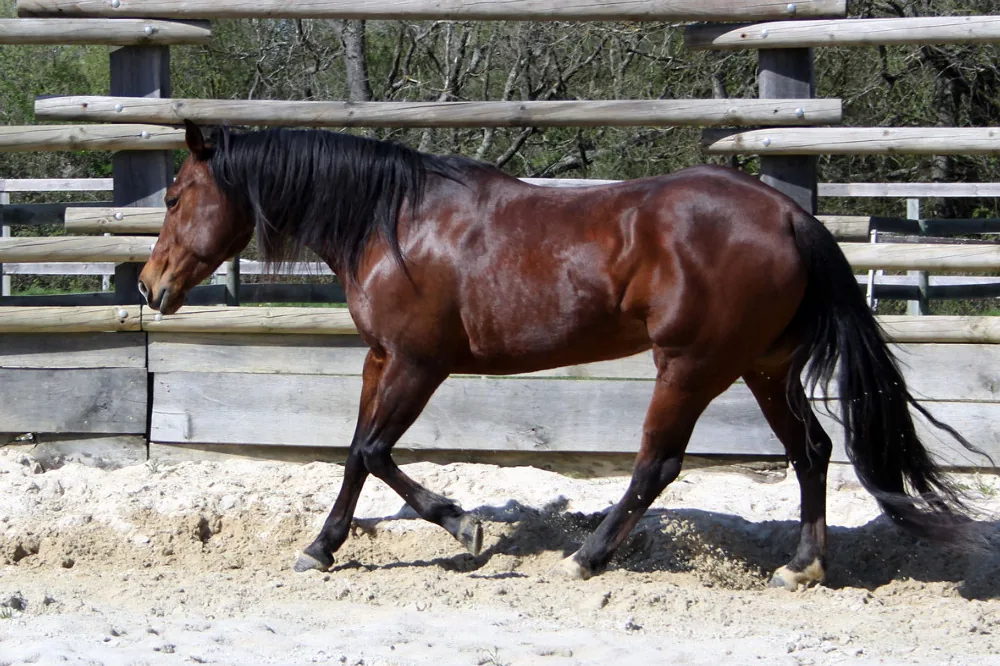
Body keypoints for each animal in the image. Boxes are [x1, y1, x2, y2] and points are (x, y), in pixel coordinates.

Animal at [138, 120, 983, 588]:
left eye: (176, 195)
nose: (150, 285)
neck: (394, 224)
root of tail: (788, 215)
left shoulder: (417, 363)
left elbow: (374, 451)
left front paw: (464, 529)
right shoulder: (381, 359)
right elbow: (353, 454)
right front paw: (324, 547)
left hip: (693, 365)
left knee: (658, 463)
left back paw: (589, 556)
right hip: (763, 366)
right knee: (811, 450)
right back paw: (803, 566)